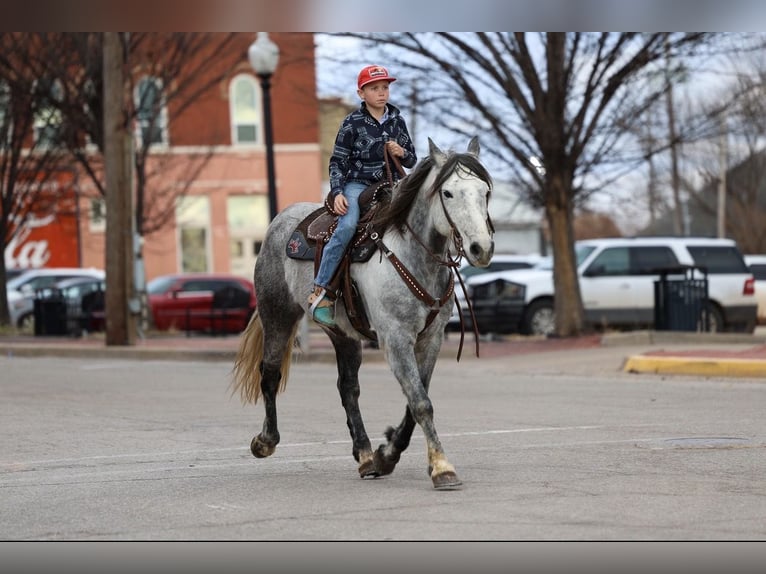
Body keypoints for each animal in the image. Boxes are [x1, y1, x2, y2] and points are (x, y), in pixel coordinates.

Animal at [232, 136, 494, 489]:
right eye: (448, 193)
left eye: (485, 192)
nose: (481, 248)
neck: (413, 256)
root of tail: (281, 219)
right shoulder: (394, 339)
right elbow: (421, 403)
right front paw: (442, 467)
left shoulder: (431, 339)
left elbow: (415, 400)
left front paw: (386, 455)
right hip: (278, 315)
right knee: (270, 373)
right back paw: (265, 441)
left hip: (342, 333)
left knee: (348, 388)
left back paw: (366, 454)